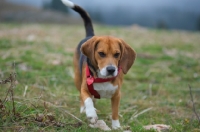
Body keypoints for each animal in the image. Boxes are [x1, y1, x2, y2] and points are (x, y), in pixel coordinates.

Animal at [61, 0, 136, 129]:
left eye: (117, 54)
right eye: (101, 53)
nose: (111, 69)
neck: (103, 78)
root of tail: (90, 36)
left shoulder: (117, 95)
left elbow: (115, 112)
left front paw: (116, 126)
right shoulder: (84, 88)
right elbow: (87, 99)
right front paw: (91, 114)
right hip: (77, 78)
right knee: (82, 97)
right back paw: (84, 109)